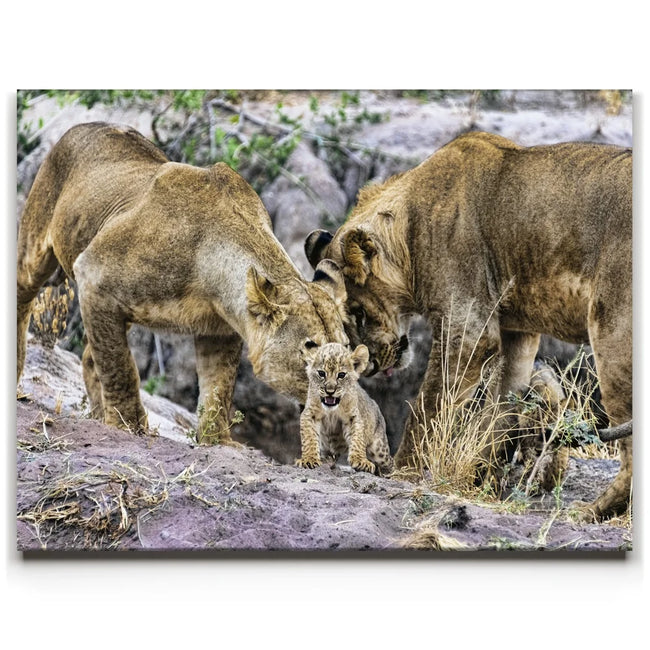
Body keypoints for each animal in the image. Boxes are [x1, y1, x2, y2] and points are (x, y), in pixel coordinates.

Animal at [17, 122, 349, 443]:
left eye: (346, 348)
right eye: (312, 351)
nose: (341, 393)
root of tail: (84, 126)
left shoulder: (221, 330)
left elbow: (218, 390)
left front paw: (218, 441)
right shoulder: (93, 275)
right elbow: (120, 368)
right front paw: (129, 426)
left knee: (89, 356)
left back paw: (98, 415)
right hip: (37, 248)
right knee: (23, 298)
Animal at [296, 341, 393, 475]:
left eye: (341, 375)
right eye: (321, 373)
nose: (330, 391)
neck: (331, 410)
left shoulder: (353, 416)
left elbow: (357, 439)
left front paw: (360, 461)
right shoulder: (310, 413)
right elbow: (309, 438)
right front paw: (309, 459)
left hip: (379, 448)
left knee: (389, 462)